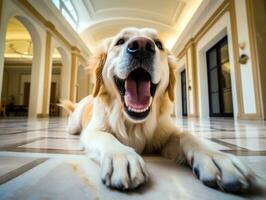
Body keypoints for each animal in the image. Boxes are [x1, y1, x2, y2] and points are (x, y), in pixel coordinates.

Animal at [61, 27, 255, 193]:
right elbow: (107, 137)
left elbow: (187, 135)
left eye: (159, 44)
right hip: (74, 124)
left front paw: (216, 157)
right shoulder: (93, 130)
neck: (134, 123)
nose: (141, 46)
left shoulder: (166, 134)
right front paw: (122, 156)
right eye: (120, 41)